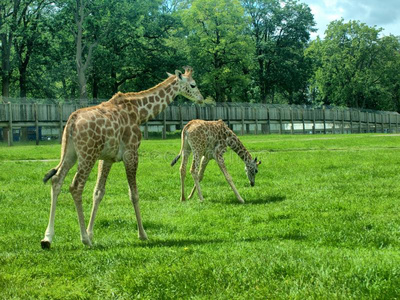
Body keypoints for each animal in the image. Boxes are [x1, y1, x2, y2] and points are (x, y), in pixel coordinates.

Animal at [41, 66, 203, 248]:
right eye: (193, 84)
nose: (201, 99)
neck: (139, 112)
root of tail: (71, 121)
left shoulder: (106, 158)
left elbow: (98, 192)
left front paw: (91, 233)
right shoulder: (131, 153)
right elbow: (134, 194)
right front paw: (142, 234)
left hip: (70, 154)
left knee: (57, 181)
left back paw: (47, 238)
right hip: (87, 155)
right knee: (76, 187)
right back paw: (84, 239)